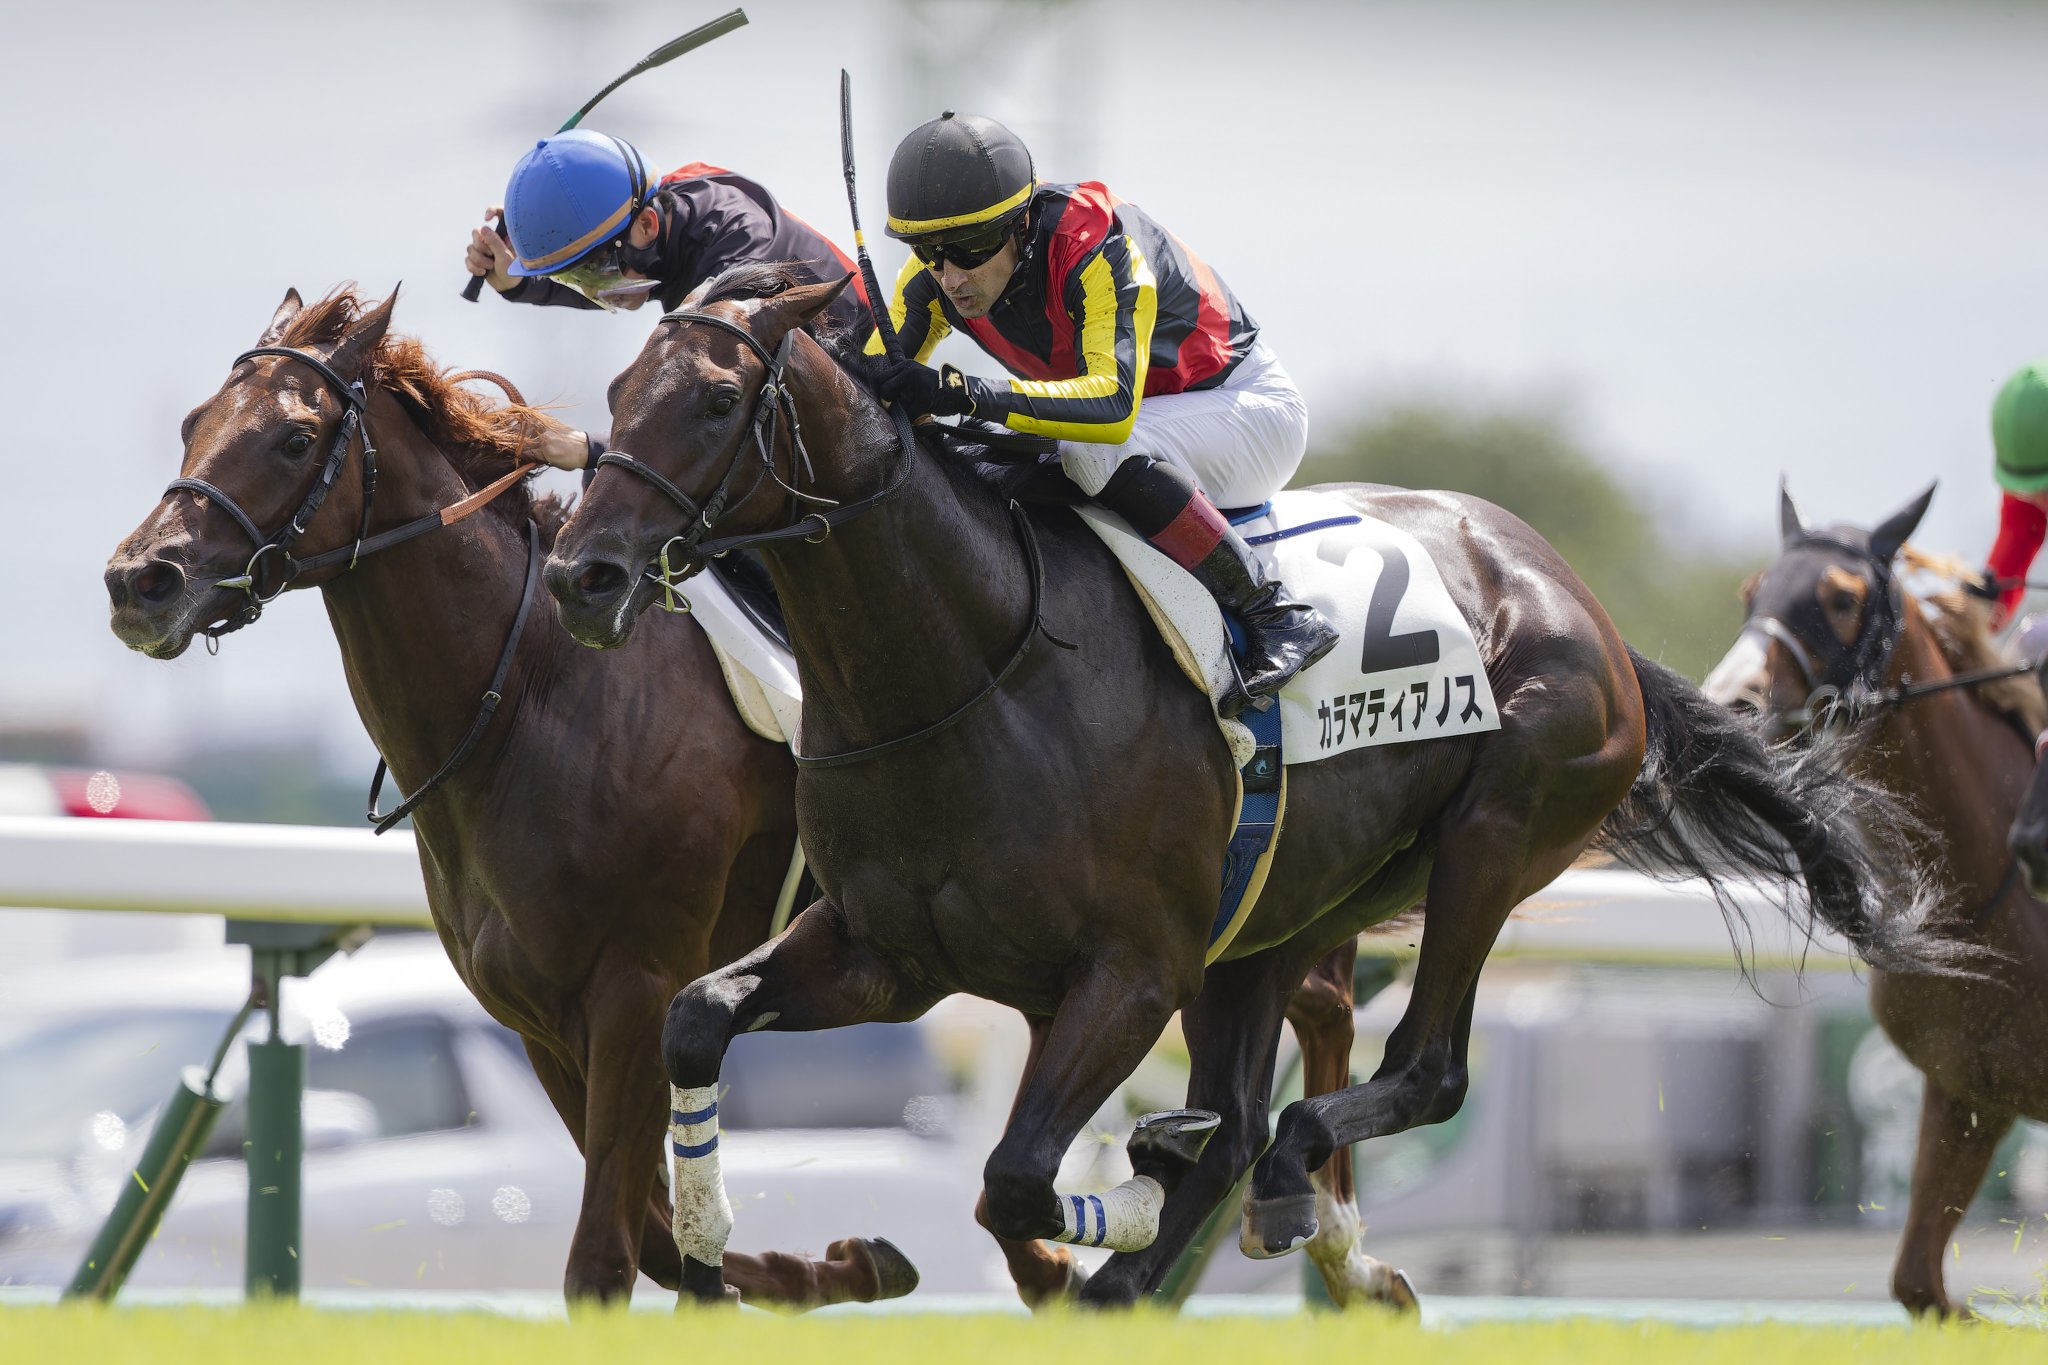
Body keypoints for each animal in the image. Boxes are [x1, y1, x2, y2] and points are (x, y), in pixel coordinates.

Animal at [103, 288, 1400, 1309]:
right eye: (192, 422)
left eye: (290, 436)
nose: (139, 579)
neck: (530, 701)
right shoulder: (540, 1021)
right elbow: (652, 1236)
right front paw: (826, 1267)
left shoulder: (632, 985)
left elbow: (606, 1255)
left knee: (1319, 1002)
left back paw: (1334, 1235)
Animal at [544, 270, 1949, 1309]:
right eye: (615, 387)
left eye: (717, 398)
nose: (582, 576)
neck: (965, 666)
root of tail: (1573, 598)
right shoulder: (888, 954)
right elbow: (696, 1017)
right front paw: (709, 1246)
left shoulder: (1130, 967)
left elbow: (1015, 1173)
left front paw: (1118, 1203)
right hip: (1283, 913)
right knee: (1244, 1101)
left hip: (1491, 838)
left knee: (1415, 1074)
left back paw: (1267, 1188)